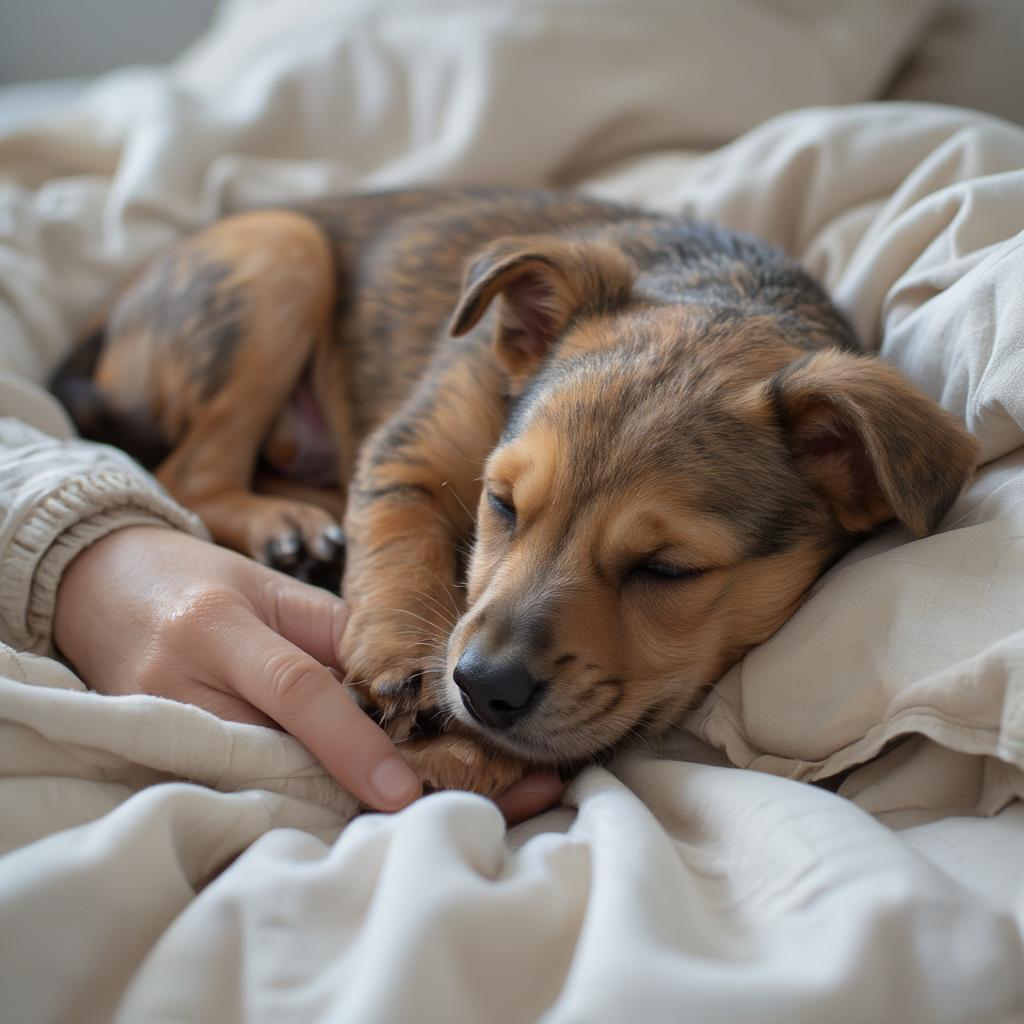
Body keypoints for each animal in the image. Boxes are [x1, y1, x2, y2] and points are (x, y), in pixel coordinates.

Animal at [51, 188, 978, 798]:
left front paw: (462, 754)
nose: (482, 687)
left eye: (668, 569)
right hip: (280, 253)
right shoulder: (410, 449)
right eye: (499, 505)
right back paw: (287, 526)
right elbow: (399, 547)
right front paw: (396, 661)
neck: (719, 290)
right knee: (192, 471)